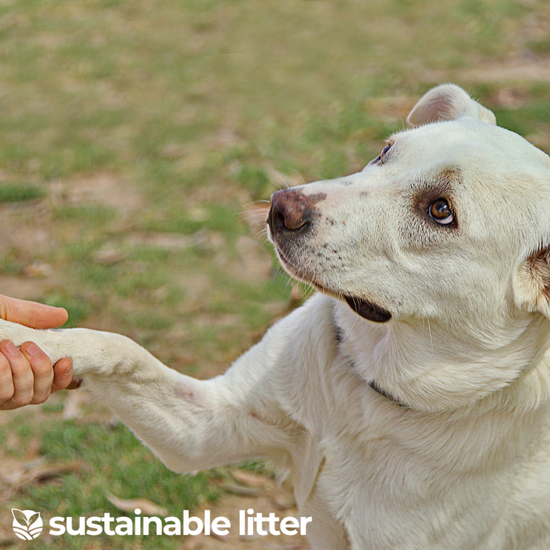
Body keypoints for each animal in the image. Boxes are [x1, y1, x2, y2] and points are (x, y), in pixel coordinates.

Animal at [3, 84, 550, 548]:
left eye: (440, 211)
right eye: (384, 152)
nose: (280, 205)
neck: (369, 393)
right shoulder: (206, 428)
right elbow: (118, 346)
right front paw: (22, 339)